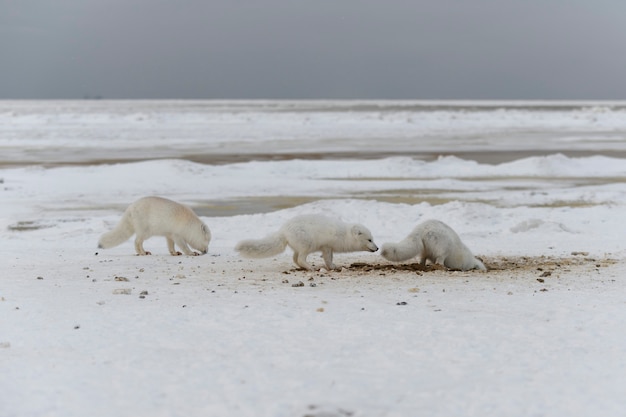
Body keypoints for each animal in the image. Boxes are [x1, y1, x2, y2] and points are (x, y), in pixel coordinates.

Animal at [234, 214, 378, 270]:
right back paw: (311, 268)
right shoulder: (326, 246)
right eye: (369, 240)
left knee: (295, 259)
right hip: (307, 245)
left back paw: (302, 267)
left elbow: (330, 258)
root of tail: (283, 230)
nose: (377, 248)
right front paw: (332, 267)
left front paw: (333, 266)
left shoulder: (329, 248)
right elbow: (328, 259)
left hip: (299, 247)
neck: (344, 234)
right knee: (300, 259)